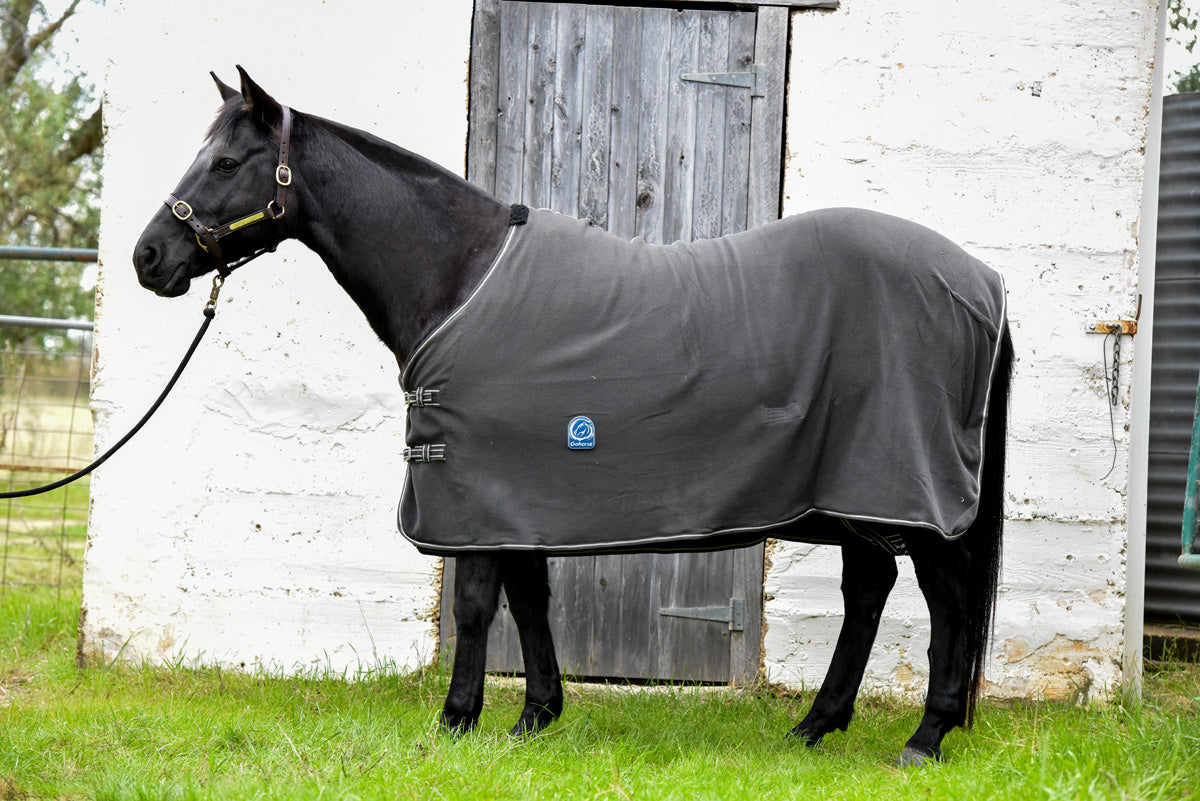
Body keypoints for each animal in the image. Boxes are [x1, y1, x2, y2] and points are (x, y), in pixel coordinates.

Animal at [132, 68, 1013, 767]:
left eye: (227, 162)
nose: (147, 258)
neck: (459, 275)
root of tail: (983, 280)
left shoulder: (475, 493)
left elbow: (477, 604)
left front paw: (455, 721)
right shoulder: (515, 495)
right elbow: (530, 597)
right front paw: (534, 717)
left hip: (909, 490)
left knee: (944, 593)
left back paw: (924, 739)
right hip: (859, 495)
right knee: (871, 586)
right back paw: (814, 727)